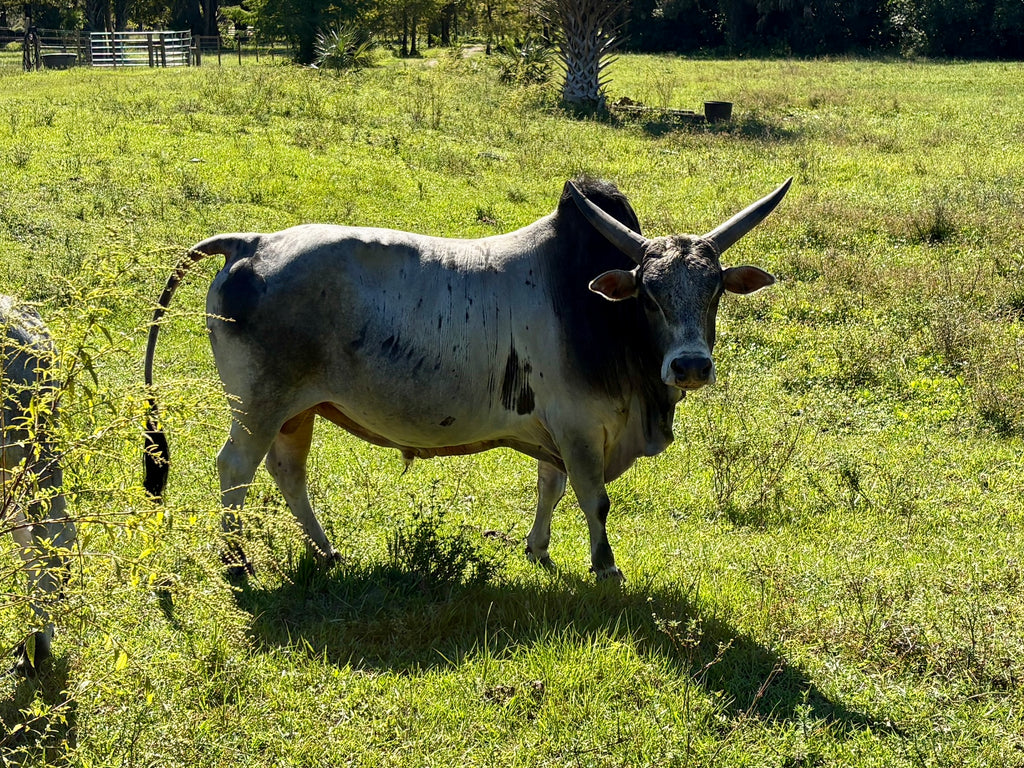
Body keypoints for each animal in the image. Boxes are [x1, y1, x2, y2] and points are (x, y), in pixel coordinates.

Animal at [143, 176, 790, 581]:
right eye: (649, 296)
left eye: (714, 290)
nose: (690, 365)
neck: (600, 317)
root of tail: (249, 244)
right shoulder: (580, 427)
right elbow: (593, 498)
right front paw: (605, 566)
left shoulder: (556, 433)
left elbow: (550, 488)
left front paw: (538, 549)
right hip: (256, 405)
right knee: (235, 469)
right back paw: (236, 563)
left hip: (295, 410)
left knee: (287, 473)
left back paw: (326, 551)